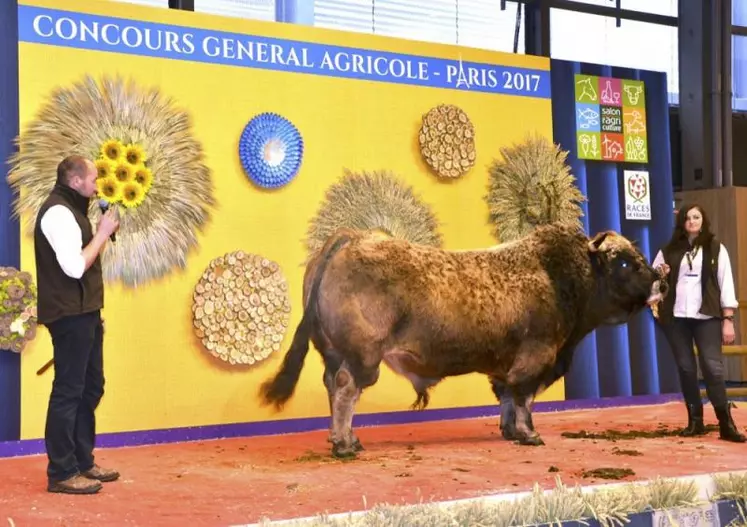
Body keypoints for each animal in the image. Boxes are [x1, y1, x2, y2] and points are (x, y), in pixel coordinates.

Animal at [260, 225, 668, 460]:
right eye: (625, 262)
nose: (660, 280)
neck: (558, 276)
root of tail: (354, 237)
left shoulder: (507, 365)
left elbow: (507, 396)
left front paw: (509, 431)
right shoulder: (536, 356)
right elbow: (524, 396)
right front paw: (529, 434)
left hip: (334, 354)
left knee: (333, 386)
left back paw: (346, 439)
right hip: (362, 356)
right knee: (346, 389)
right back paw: (345, 444)